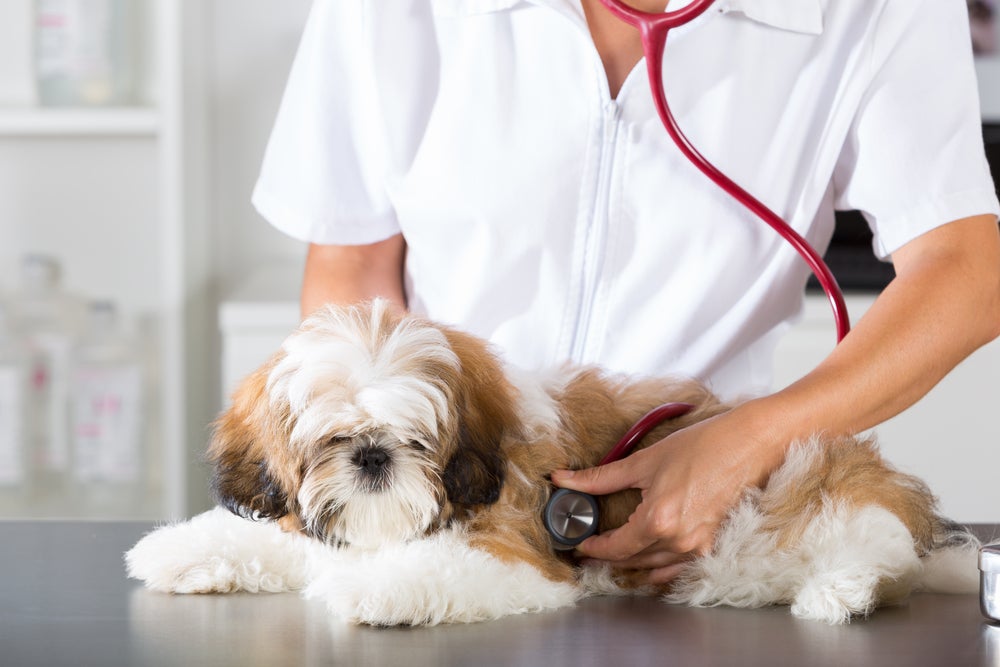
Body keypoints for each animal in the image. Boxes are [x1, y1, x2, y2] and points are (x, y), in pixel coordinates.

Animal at [123, 302, 976, 628]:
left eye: (416, 439)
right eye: (333, 440)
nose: (372, 457)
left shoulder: (518, 554)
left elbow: (432, 569)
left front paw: (372, 592)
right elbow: (265, 536)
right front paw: (176, 549)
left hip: (810, 490)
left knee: (878, 553)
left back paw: (840, 590)